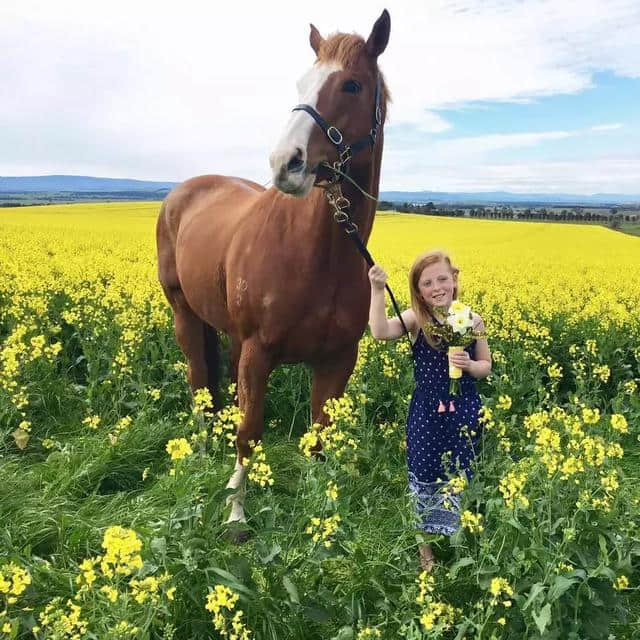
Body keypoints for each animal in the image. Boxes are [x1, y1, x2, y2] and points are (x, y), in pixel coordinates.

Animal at [158, 8, 392, 528]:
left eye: (351, 85)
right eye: (302, 82)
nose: (286, 163)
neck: (318, 254)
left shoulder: (337, 360)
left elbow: (319, 436)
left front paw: (320, 511)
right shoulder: (257, 351)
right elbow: (249, 430)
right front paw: (236, 513)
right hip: (185, 314)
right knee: (198, 379)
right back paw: (201, 450)